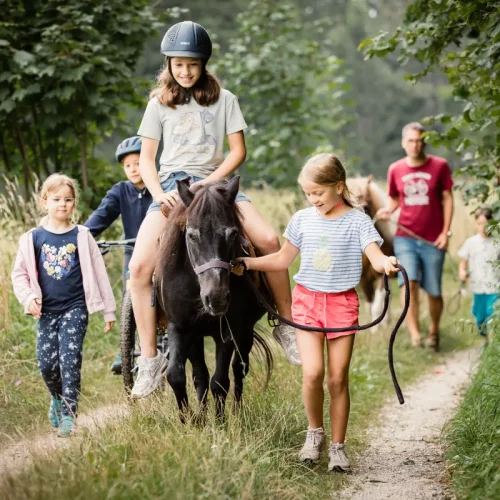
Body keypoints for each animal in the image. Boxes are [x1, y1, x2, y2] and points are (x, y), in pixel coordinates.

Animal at [348, 177, 394, 328]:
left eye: (368, 199)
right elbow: (369, 303)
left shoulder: (381, 276)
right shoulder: (364, 279)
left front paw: (378, 328)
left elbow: (377, 304)